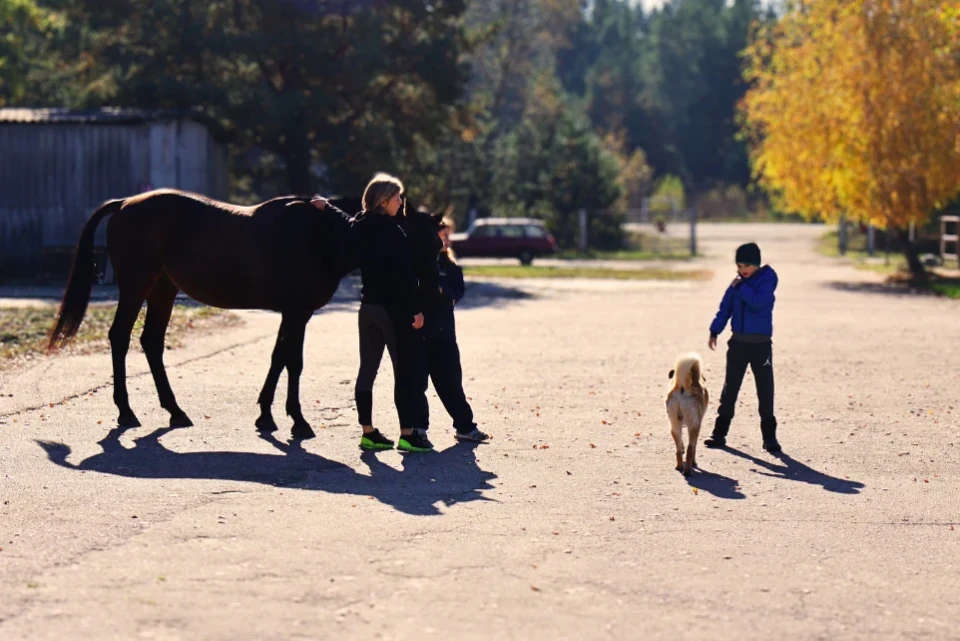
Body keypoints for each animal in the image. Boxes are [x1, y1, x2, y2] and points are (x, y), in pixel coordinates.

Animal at [48, 189, 442, 440]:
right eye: (410, 241)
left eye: (438, 243)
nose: (432, 294)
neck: (323, 236)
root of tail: (125, 203)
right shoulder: (297, 312)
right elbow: (292, 361)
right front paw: (297, 420)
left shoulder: (293, 313)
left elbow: (279, 358)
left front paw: (266, 415)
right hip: (136, 286)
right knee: (120, 337)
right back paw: (126, 411)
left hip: (163, 289)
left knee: (151, 342)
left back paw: (175, 411)